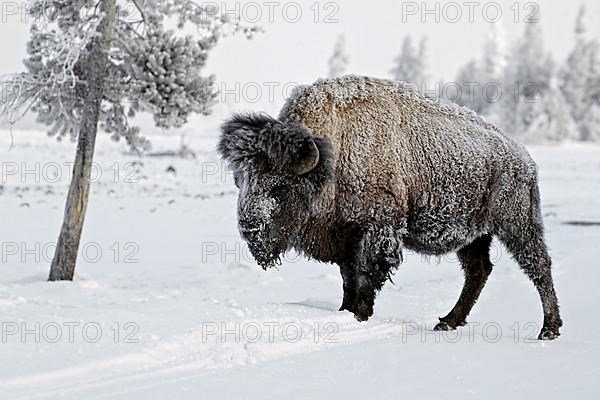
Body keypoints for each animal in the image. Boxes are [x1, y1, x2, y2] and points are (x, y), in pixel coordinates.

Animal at [219, 75, 564, 340]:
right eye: (240, 181)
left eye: (279, 187)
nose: (249, 225)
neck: (332, 155)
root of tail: (524, 159)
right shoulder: (347, 237)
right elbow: (348, 278)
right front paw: (345, 311)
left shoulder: (378, 229)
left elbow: (366, 275)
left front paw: (360, 315)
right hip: (475, 235)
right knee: (479, 271)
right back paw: (447, 322)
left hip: (516, 223)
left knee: (538, 265)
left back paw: (548, 330)